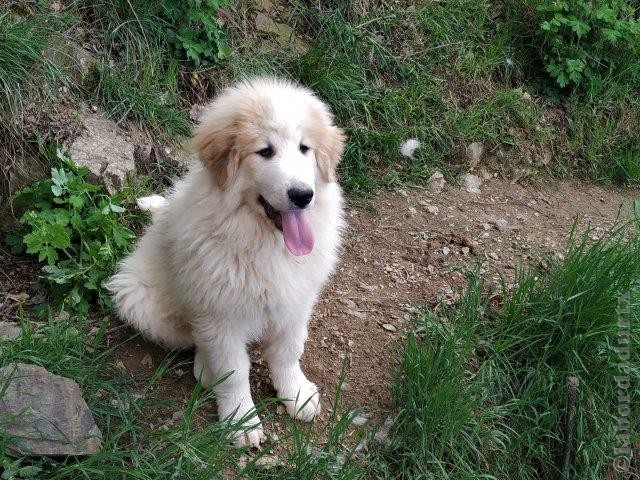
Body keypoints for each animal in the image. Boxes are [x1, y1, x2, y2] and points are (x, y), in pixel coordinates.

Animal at [106, 77, 344, 448]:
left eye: (305, 148)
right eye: (265, 151)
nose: (303, 195)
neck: (263, 240)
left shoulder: (296, 300)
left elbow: (288, 350)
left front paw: (296, 393)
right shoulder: (220, 314)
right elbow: (233, 371)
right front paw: (241, 421)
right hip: (139, 297)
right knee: (195, 341)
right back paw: (205, 370)